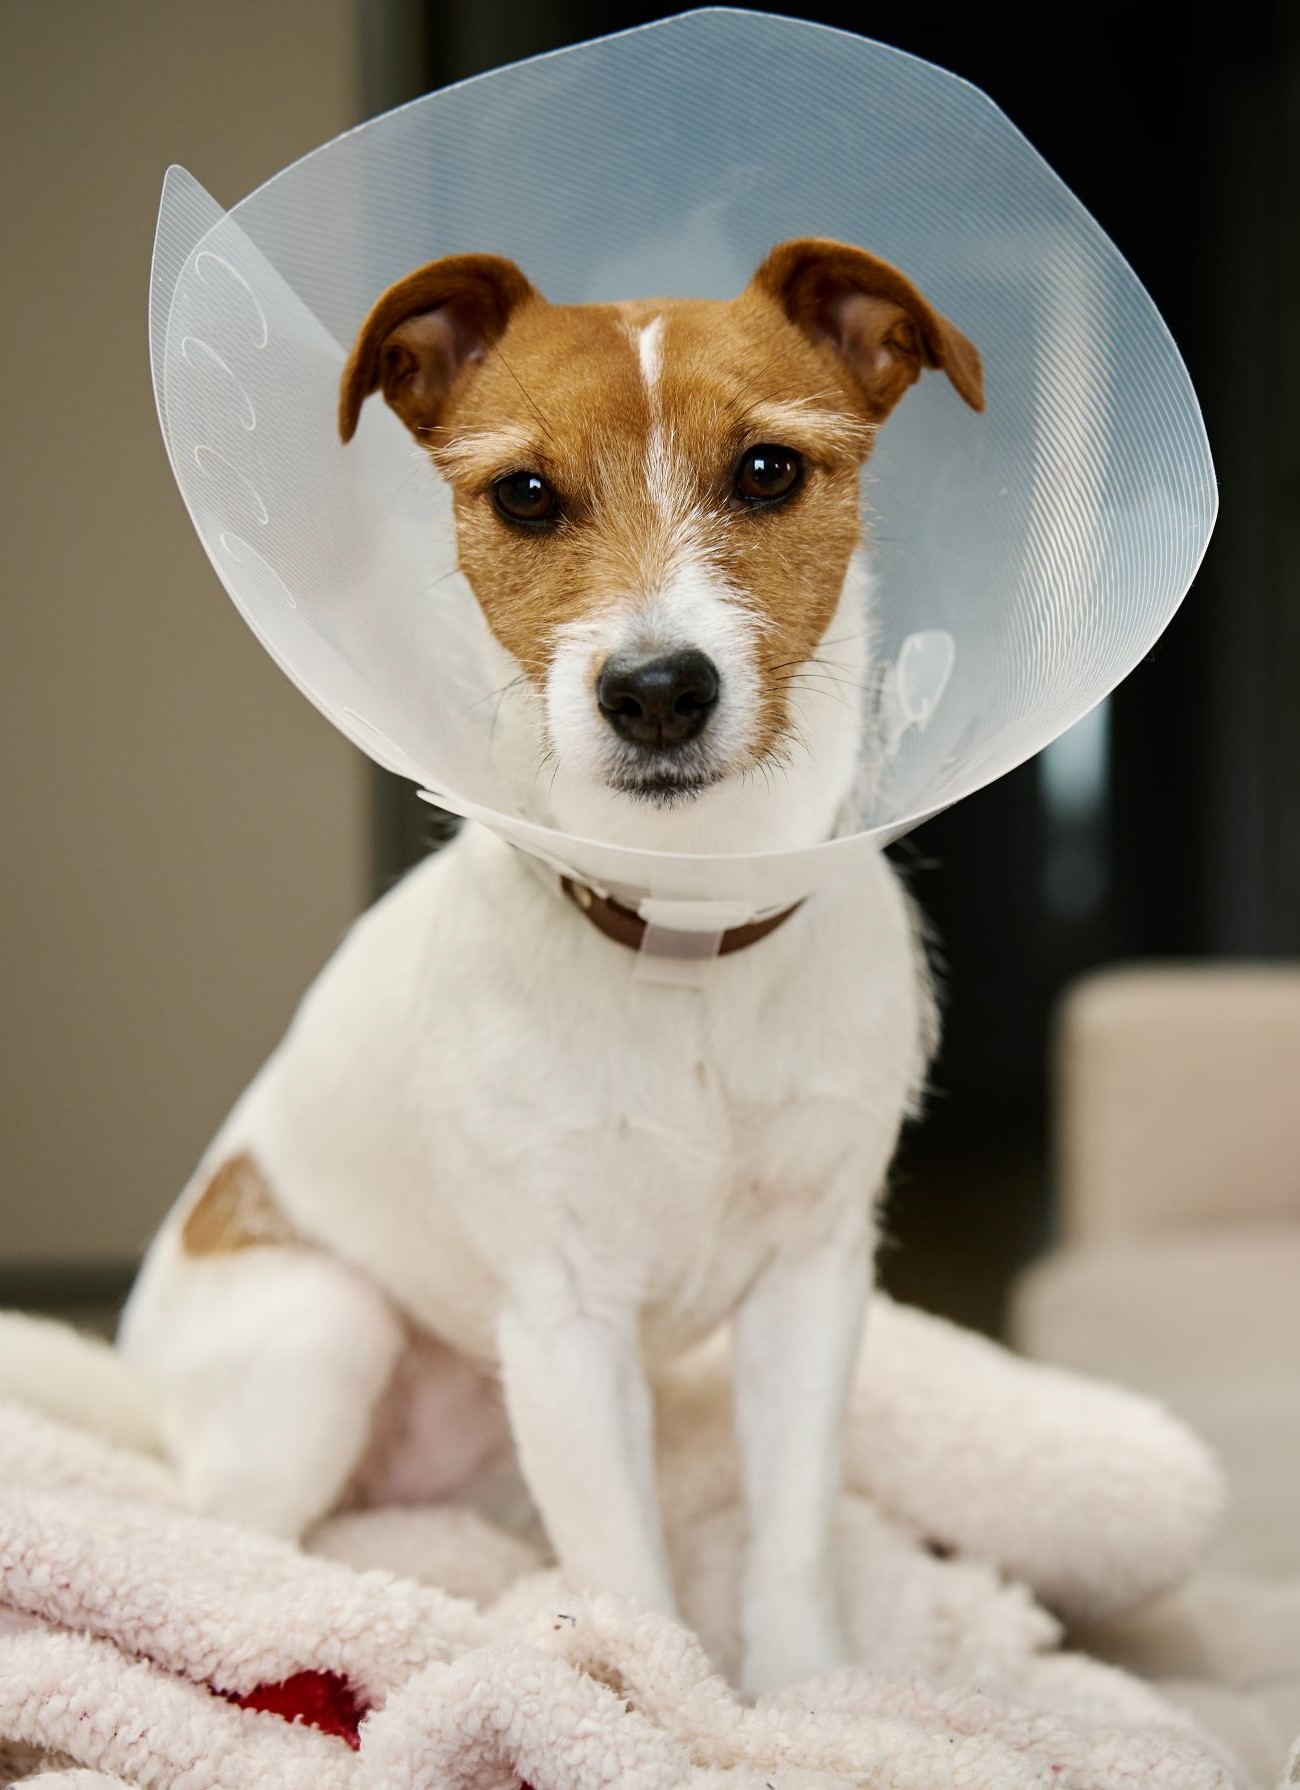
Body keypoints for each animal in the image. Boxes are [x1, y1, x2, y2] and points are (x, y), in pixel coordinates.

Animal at [121, 241, 981, 1689]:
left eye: (767, 471)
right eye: (524, 495)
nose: (655, 691)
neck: (687, 925)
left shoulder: (814, 1283)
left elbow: (790, 1537)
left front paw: (807, 1699)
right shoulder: (567, 1323)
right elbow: (634, 1586)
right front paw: (664, 1703)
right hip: (324, 1328)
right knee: (223, 1541)